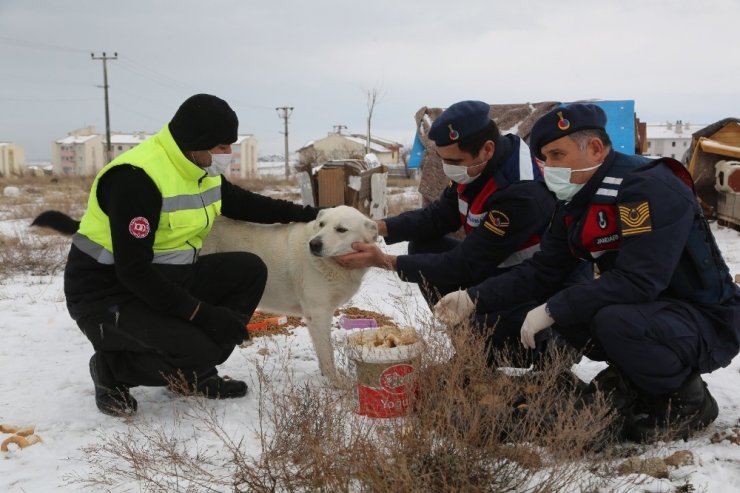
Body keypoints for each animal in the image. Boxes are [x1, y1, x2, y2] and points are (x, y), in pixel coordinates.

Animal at [201, 206, 378, 378]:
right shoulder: (318, 314)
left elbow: (322, 354)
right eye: (321, 224)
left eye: (341, 229)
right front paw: (336, 382)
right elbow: (327, 354)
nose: (314, 244)